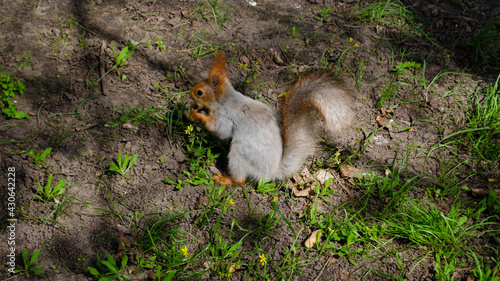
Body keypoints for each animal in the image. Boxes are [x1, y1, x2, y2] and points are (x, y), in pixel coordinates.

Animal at [188, 50, 356, 186]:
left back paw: (224, 179)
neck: (225, 99)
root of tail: (271, 172)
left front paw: (196, 115)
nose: (189, 93)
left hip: (240, 154)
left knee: (240, 181)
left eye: (200, 92)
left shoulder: (226, 117)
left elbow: (220, 131)